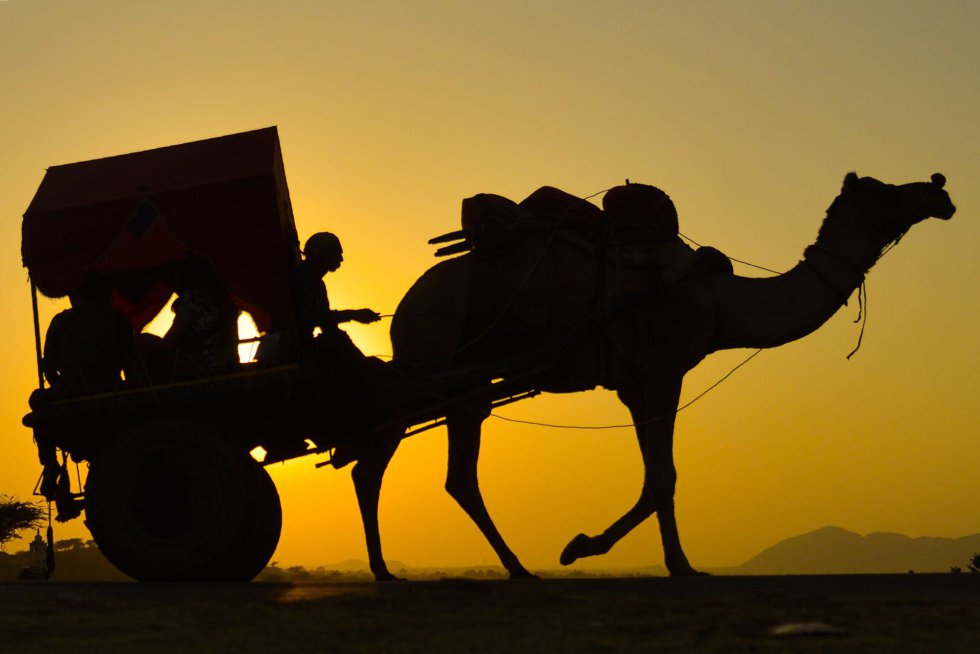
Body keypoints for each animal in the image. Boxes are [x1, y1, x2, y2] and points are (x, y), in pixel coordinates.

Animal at [348, 172, 952, 580]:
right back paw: (418, 570)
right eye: (889, 192)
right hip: (432, 354)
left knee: (436, 473)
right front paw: (669, 563)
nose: (940, 190)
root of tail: (407, 302)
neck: (720, 301)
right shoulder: (663, 370)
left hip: (463, 383)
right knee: (384, 461)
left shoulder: (635, 384)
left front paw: (589, 547)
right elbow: (665, 476)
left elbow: (652, 477)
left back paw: (459, 567)